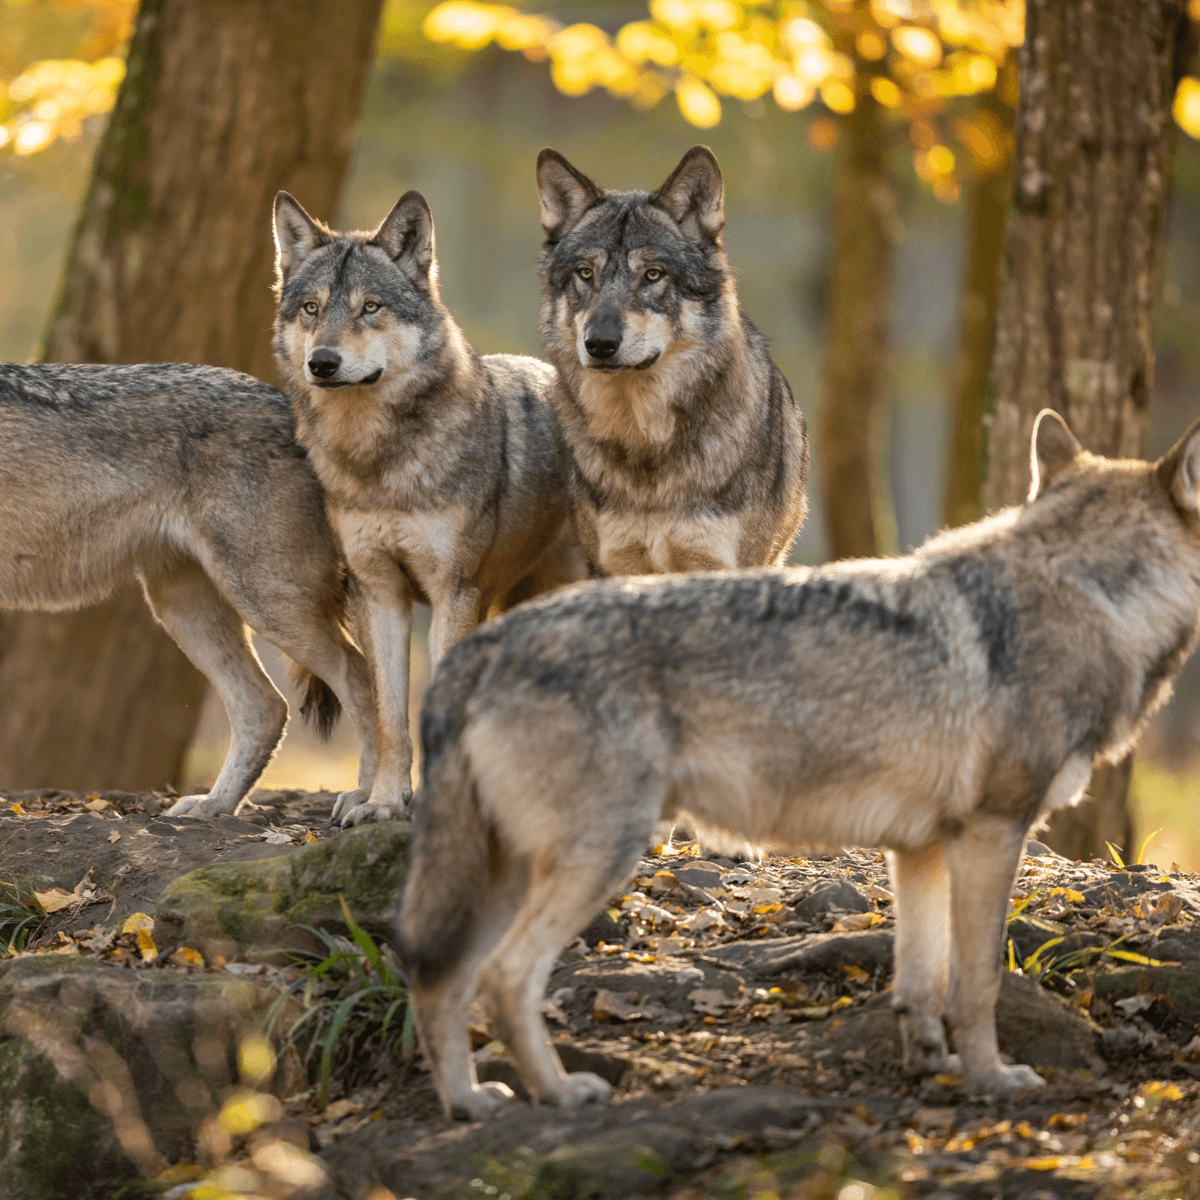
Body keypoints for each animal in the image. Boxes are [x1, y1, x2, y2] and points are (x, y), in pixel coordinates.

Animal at [0, 362, 378, 818]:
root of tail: (288, 403)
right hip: (185, 611)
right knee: (266, 706)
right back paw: (216, 804)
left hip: (265, 602)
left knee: (359, 678)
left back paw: (367, 798)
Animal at [272, 190, 580, 827]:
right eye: (312, 309)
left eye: (370, 308)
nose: (322, 362)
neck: (381, 462)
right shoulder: (380, 593)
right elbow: (390, 717)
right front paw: (385, 801)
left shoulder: (450, 593)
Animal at [397, 409, 1200, 1119]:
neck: (1089, 595)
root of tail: (477, 650)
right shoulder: (991, 834)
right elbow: (976, 985)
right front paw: (993, 1080)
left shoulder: (921, 851)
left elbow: (922, 981)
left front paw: (929, 1065)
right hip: (594, 858)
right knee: (504, 979)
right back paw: (560, 1095)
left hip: (505, 875)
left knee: (439, 982)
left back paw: (470, 1104)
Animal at [535, 144, 809, 578]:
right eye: (585, 273)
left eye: (652, 274)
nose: (599, 344)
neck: (646, 443)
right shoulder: (613, 567)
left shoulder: (719, 565)